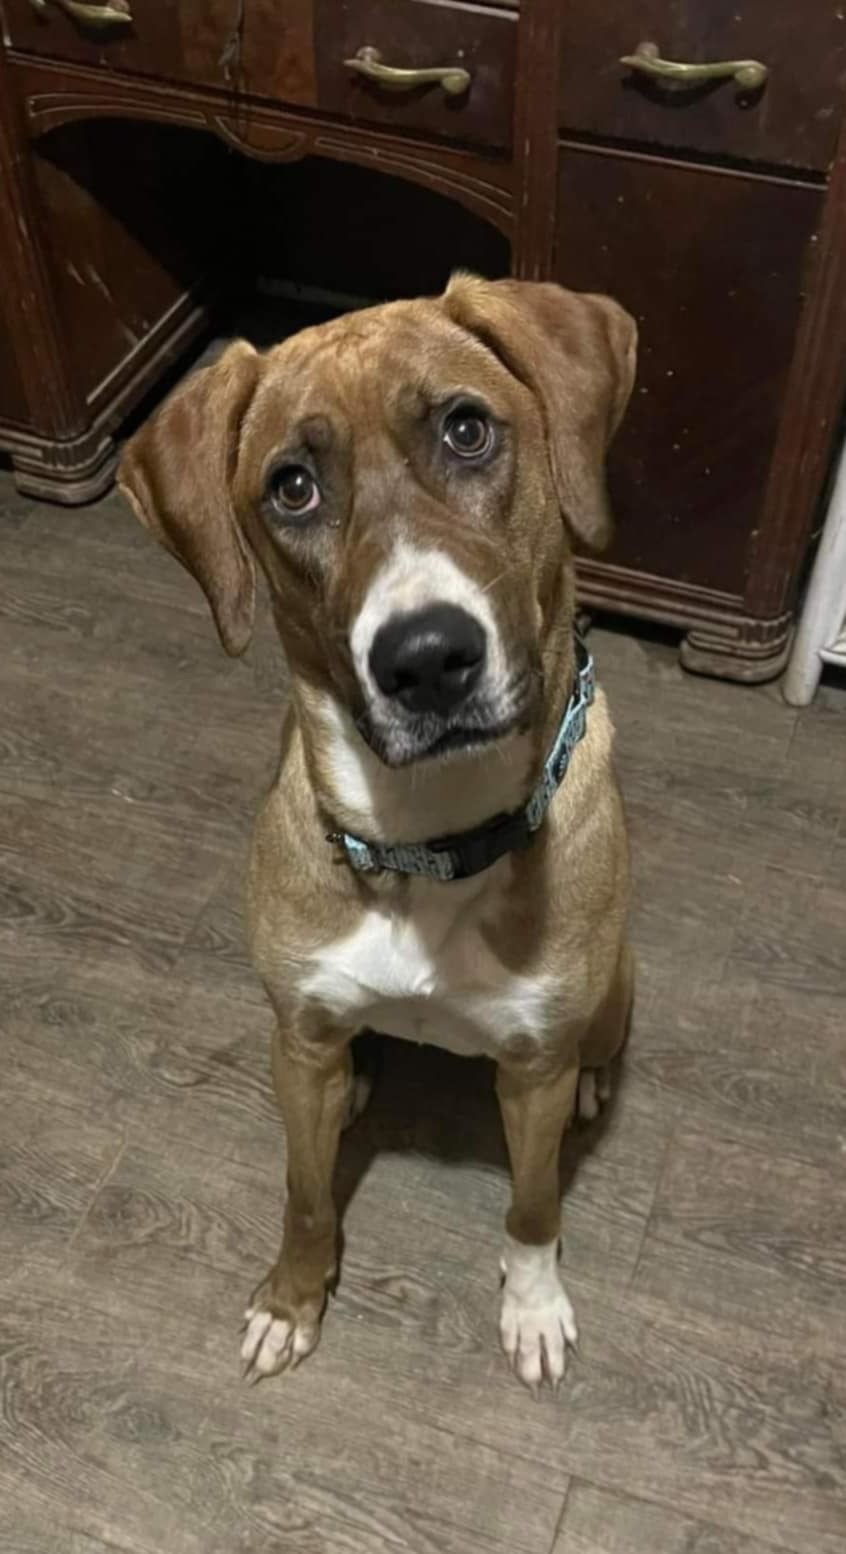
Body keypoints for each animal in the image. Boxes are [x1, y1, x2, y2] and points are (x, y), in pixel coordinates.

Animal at [117, 273, 634, 1392]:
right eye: (291, 488)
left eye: (467, 430)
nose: (427, 658)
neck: (428, 835)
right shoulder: (302, 1038)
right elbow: (305, 1193)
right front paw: (291, 1301)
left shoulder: (531, 1068)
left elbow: (533, 1204)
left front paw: (533, 1305)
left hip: (616, 981)